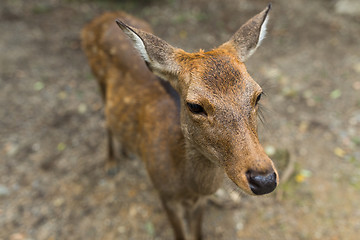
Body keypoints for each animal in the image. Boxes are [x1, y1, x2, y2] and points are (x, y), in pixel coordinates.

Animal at [82, 4, 278, 240]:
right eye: (194, 106)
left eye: (258, 95)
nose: (264, 180)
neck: (186, 185)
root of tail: (102, 17)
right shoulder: (164, 195)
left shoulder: (199, 201)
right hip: (97, 77)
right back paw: (111, 161)